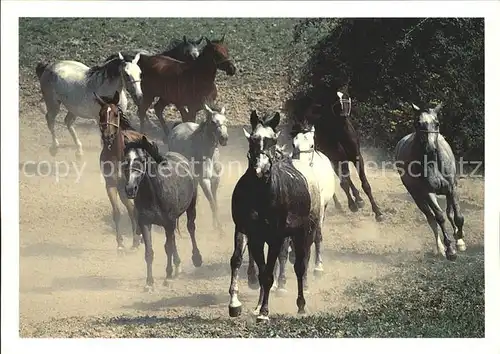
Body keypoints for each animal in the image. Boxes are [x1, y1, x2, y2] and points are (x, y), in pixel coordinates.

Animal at [94, 90, 145, 252]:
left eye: (116, 114)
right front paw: (121, 244)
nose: (108, 136)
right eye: (101, 114)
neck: (117, 155)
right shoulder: (111, 185)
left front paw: (136, 239)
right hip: (123, 191)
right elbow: (117, 212)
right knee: (131, 209)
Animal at [123, 136, 203, 290]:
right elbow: (149, 252)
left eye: (142, 160)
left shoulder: (169, 222)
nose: (130, 189)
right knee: (173, 239)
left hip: (190, 207)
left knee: (191, 228)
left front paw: (168, 277)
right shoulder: (145, 223)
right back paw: (178, 265)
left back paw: (196, 258)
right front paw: (149, 283)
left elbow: (168, 248)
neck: (154, 193)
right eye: (125, 160)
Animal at [166, 104, 229, 232]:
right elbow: (212, 203)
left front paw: (215, 225)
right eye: (213, 122)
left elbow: (215, 203)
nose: (224, 138)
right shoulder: (204, 181)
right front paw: (220, 230)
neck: (209, 156)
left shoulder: (215, 179)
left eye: (226, 121)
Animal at [229, 110, 318, 320]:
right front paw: (236, 304)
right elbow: (243, 262)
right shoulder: (248, 231)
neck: (261, 194)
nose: (260, 169)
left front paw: (264, 312)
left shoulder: (276, 237)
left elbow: (269, 273)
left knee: (300, 266)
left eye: (272, 140)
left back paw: (301, 304)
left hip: (302, 233)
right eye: (253, 139)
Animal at [396, 102, 466, 260]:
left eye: (437, 123)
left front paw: (460, 240)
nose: (430, 148)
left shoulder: (452, 188)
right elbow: (439, 217)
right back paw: (440, 248)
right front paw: (450, 250)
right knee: (431, 219)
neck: (433, 163)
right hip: (418, 197)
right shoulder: (428, 192)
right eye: (418, 123)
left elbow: (457, 216)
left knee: (449, 213)